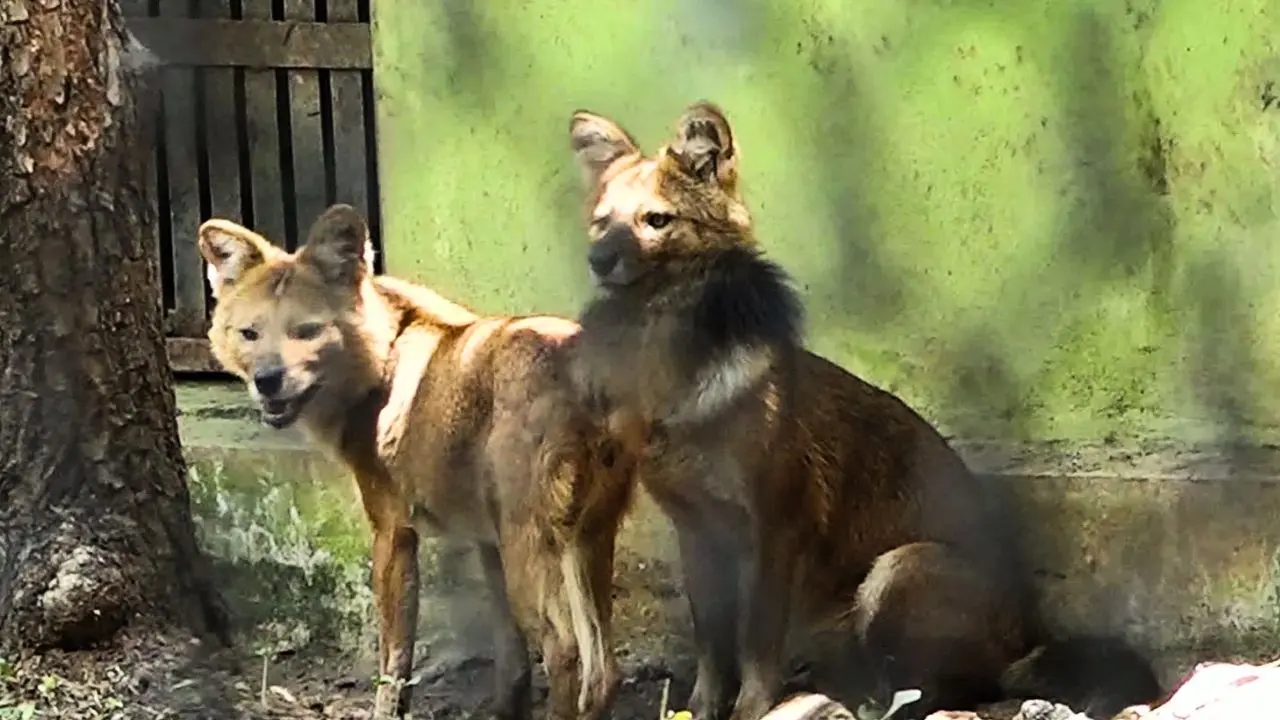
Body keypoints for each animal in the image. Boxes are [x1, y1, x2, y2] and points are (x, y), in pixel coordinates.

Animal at [197, 204, 635, 719]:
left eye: (305, 331)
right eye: (249, 334)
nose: (267, 380)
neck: (382, 361)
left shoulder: (392, 532)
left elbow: (394, 661)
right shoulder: (488, 541)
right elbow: (511, 660)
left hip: (536, 547)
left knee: (566, 652)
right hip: (585, 541)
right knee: (604, 671)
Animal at [563, 102, 1162, 720]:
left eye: (656, 219)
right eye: (601, 221)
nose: (598, 259)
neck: (675, 373)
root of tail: (1024, 643)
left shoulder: (778, 525)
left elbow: (757, 644)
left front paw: (753, 708)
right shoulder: (697, 529)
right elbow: (712, 645)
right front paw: (702, 709)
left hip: (896, 570)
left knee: (949, 689)